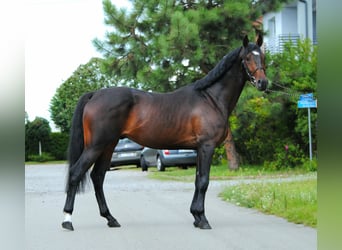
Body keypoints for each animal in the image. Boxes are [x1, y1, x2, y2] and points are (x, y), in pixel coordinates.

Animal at [62, 34, 268, 230]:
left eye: (263, 56)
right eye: (247, 57)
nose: (263, 83)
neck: (210, 98)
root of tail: (94, 94)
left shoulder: (199, 149)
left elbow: (197, 180)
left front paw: (196, 216)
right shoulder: (206, 146)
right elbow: (203, 181)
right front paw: (203, 220)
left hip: (108, 146)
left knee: (97, 177)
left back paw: (110, 218)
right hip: (96, 146)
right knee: (76, 173)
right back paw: (67, 220)